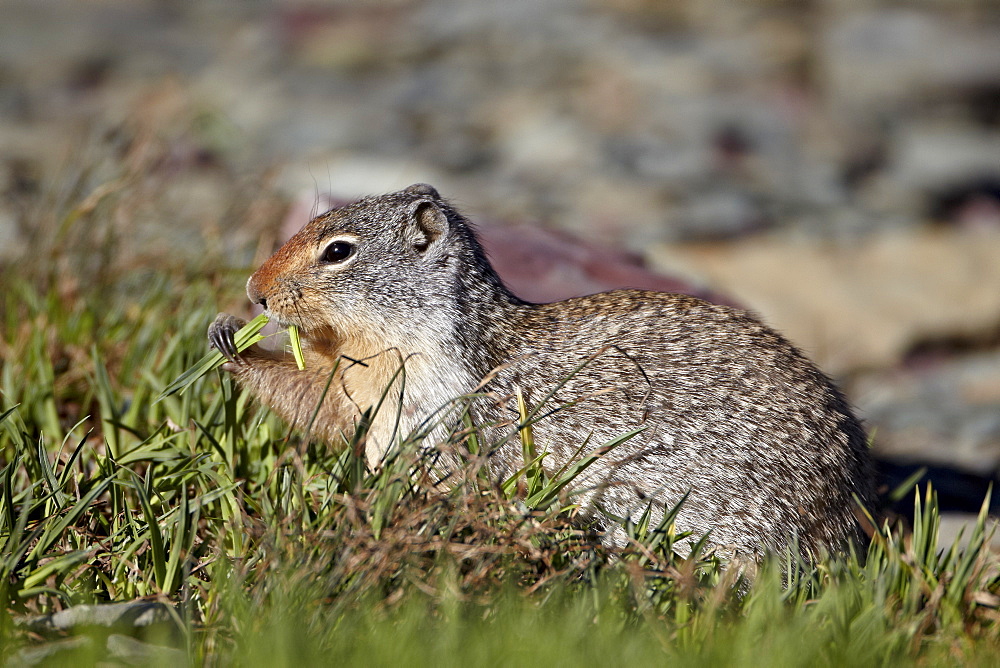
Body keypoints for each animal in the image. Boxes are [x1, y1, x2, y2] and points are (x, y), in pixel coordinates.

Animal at [209, 185, 876, 560]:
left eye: (339, 250)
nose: (254, 289)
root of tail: (846, 513)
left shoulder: (431, 403)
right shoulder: (357, 389)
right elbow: (319, 402)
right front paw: (225, 338)